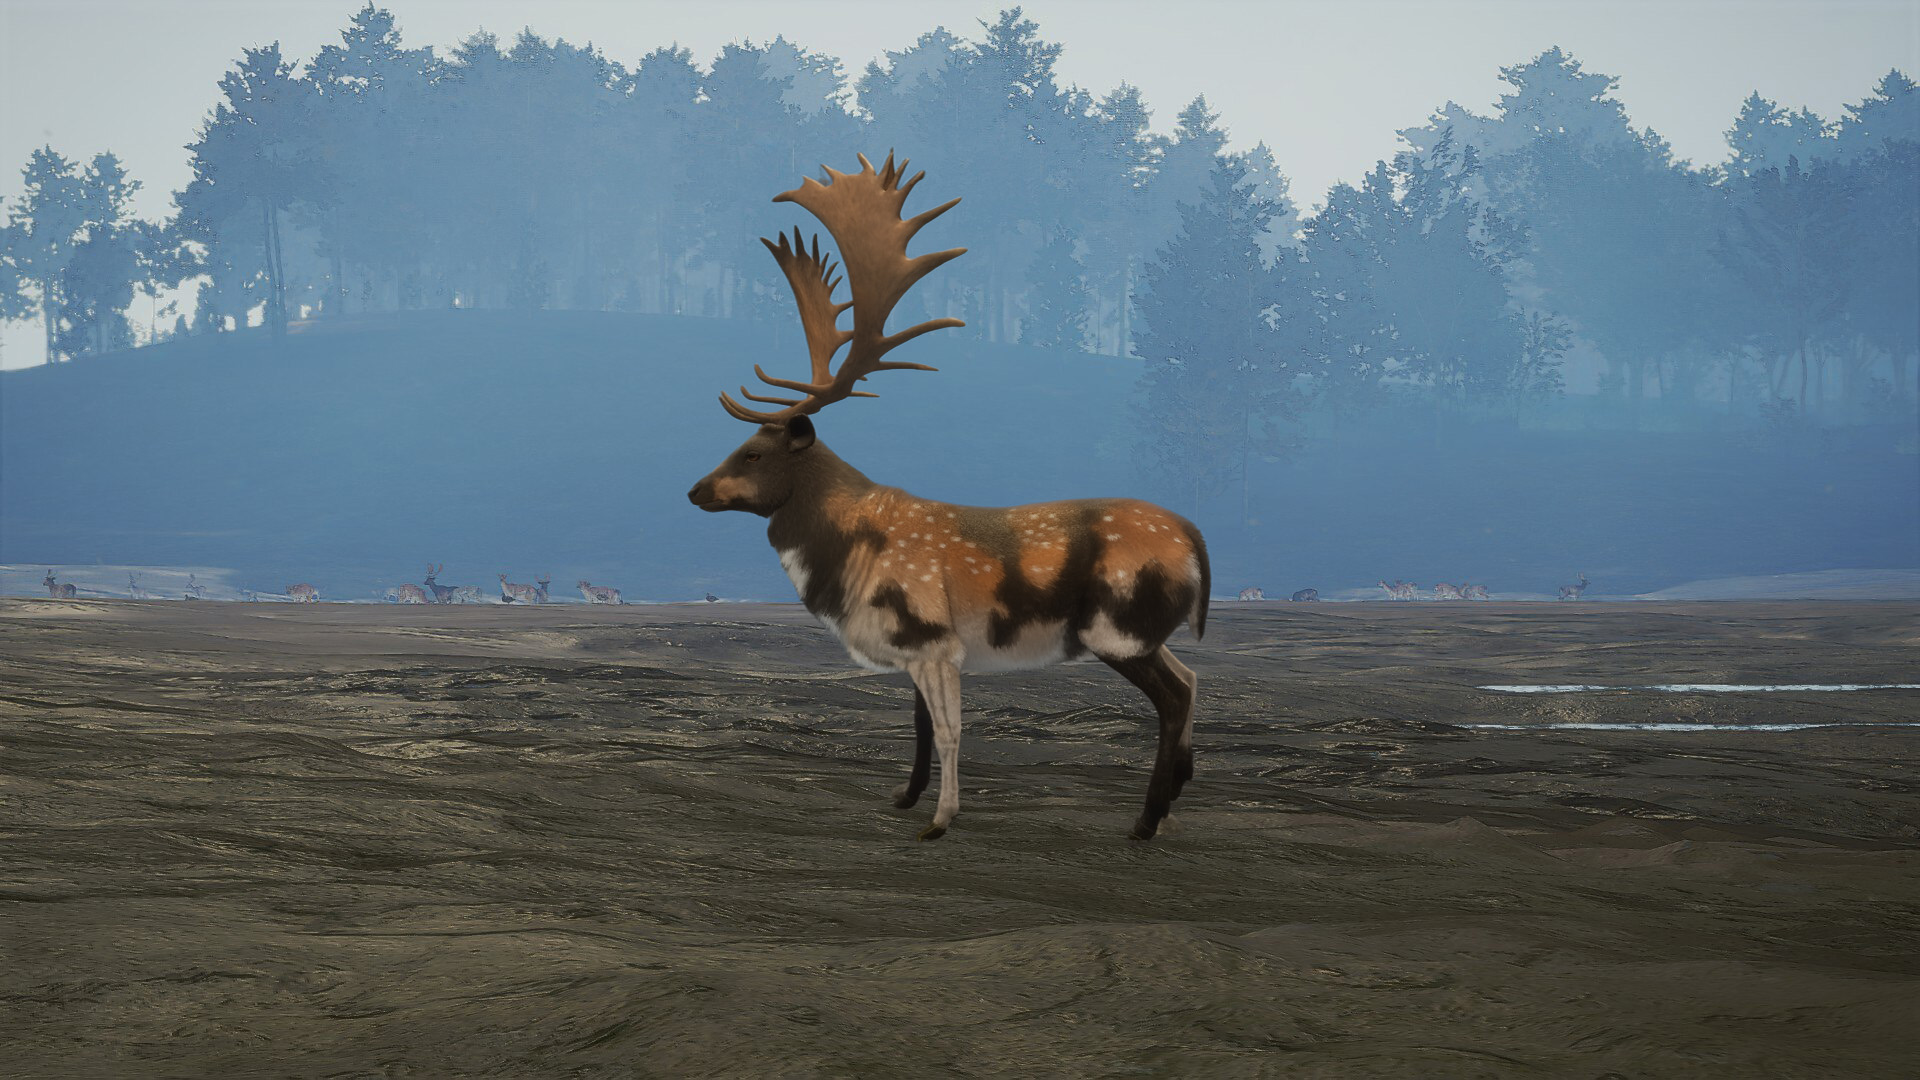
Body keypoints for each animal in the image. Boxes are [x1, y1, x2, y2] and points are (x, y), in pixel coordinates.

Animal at [687, 153, 1209, 843]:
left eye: (752, 452)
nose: (695, 490)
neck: (848, 563)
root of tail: (1196, 539)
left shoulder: (933, 635)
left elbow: (950, 731)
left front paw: (940, 820)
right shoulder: (914, 645)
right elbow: (918, 727)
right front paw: (905, 798)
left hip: (1116, 626)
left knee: (1174, 693)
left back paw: (1146, 822)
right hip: (1142, 630)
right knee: (1192, 676)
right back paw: (1174, 791)